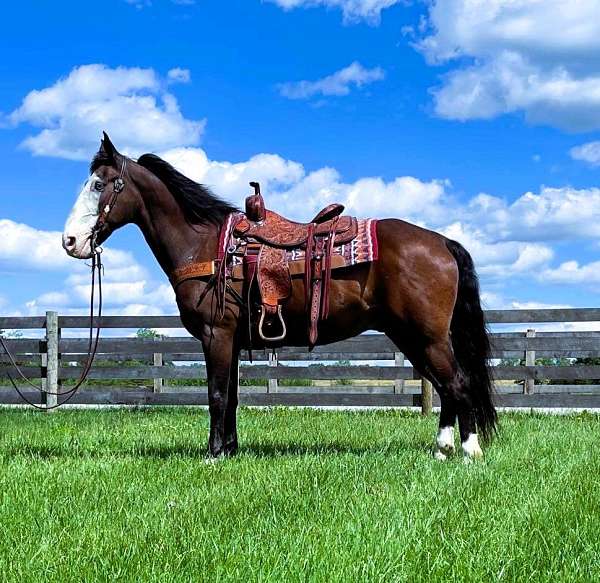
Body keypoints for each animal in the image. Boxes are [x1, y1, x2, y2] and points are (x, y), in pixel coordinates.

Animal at [62, 135, 496, 464]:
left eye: (99, 184)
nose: (69, 241)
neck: (205, 247)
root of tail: (441, 242)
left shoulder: (216, 335)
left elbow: (216, 395)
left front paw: (213, 455)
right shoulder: (232, 341)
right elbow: (232, 397)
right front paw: (230, 450)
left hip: (427, 336)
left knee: (457, 383)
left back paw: (469, 452)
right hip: (411, 336)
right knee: (445, 386)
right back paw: (442, 450)